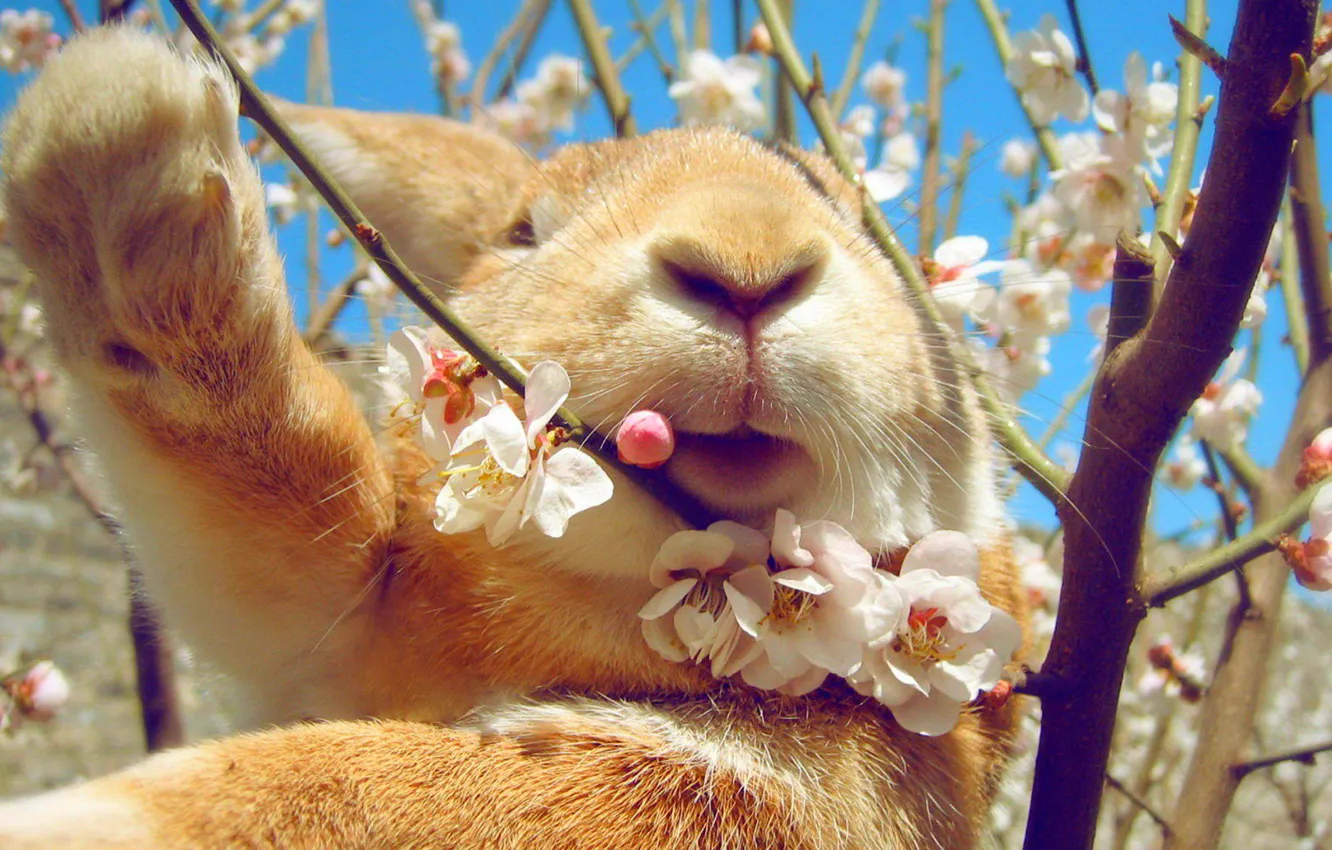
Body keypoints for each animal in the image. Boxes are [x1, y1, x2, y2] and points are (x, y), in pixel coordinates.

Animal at [0, 26, 1026, 849]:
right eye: (523, 233)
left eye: (873, 234)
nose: (747, 260)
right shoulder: (336, 623)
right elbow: (282, 496)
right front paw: (116, 133)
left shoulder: (762, 789)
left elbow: (350, 791)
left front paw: (70, 822)